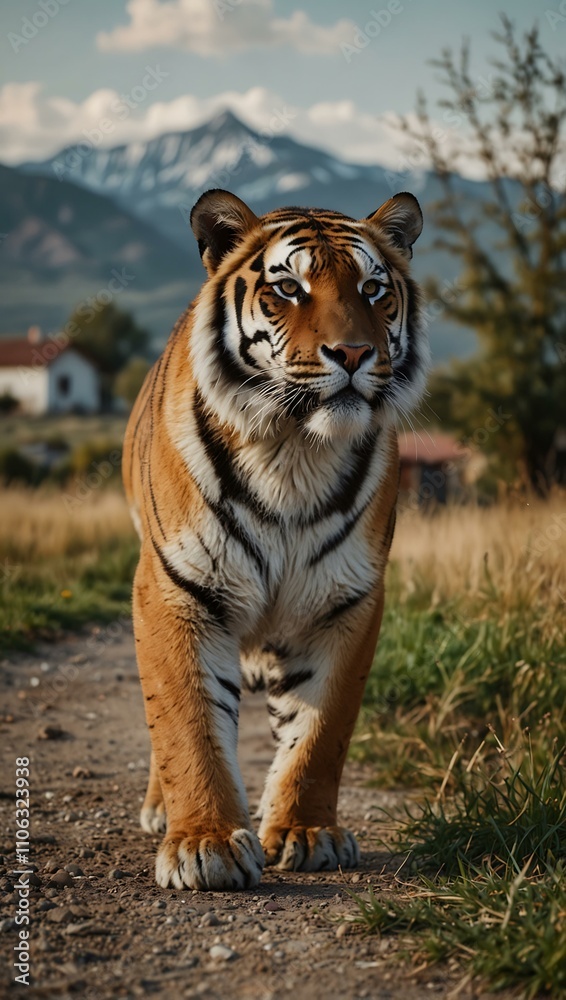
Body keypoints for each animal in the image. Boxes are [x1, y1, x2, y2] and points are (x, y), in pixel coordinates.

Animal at [122, 188, 428, 891]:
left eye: (373, 289)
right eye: (289, 287)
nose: (353, 354)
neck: (294, 450)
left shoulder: (346, 601)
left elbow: (320, 731)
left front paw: (305, 832)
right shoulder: (176, 592)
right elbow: (186, 722)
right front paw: (203, 844)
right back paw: (161, 811)